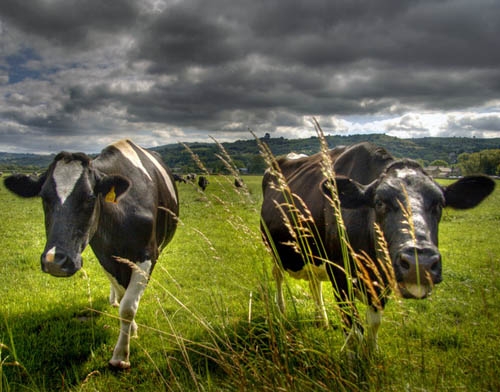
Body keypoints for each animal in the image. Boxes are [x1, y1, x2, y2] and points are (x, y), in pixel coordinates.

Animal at [3, 140, 180, 368]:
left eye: (89, 198)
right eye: (44, 197)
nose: (54, 261)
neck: (121, 217)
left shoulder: (148, 255)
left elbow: (128, 307)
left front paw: (121, 356)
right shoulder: (105, 254)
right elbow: (122, 292)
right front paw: (131, 329)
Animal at [260, 142, 494, 350]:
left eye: (440, 204)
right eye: (380, 202)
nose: (420, 263)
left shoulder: (384, 279)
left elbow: (374, 323)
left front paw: (372, 355)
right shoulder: (339, 274)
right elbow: (353, 330)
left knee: (313, 281)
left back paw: (321, 320)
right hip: (272, 248)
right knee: (278, 276)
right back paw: (281, 313)